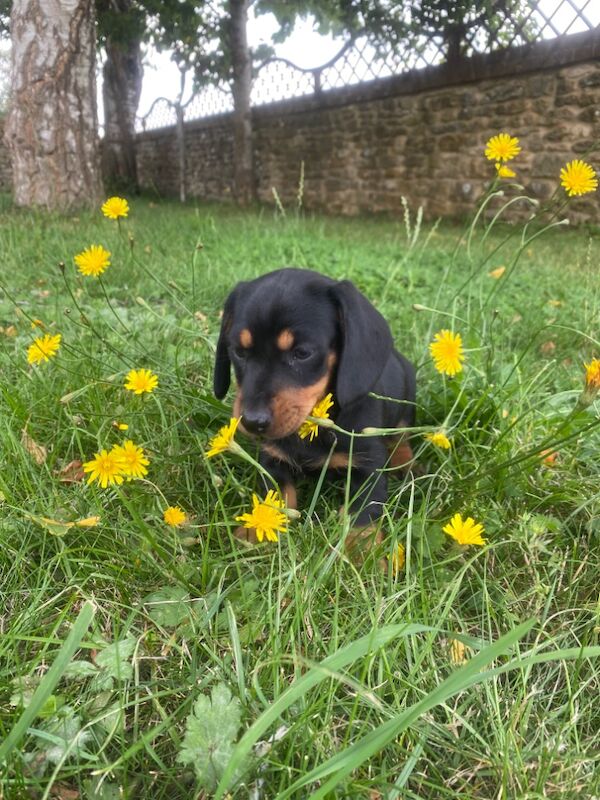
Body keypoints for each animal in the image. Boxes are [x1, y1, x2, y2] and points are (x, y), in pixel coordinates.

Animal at [213, 268, 414, 556]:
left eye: (302, 353)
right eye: (239, 351)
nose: (252, 422)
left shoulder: (368, 463)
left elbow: (363, 511)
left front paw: (362, 550)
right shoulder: (271, 458)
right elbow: (274, 494)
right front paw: (258, 528)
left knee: (402, 435)